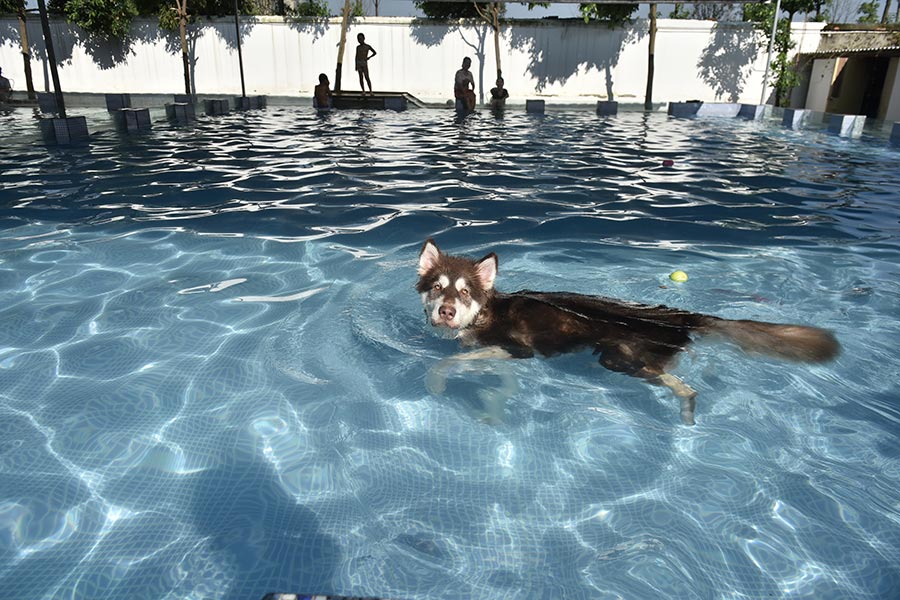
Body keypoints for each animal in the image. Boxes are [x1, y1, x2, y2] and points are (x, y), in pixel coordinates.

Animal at [418, 239, 840, 426]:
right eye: (437, 287)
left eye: (465, 292)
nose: (446, 311)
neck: (483, 314)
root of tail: (683, 315)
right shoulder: (506, 359)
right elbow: (497, 386)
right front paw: (493, 410)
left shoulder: (518, 350)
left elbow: (443, 366)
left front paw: (436, 383)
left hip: (619, 358)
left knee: (684, 387)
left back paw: (687, 409)